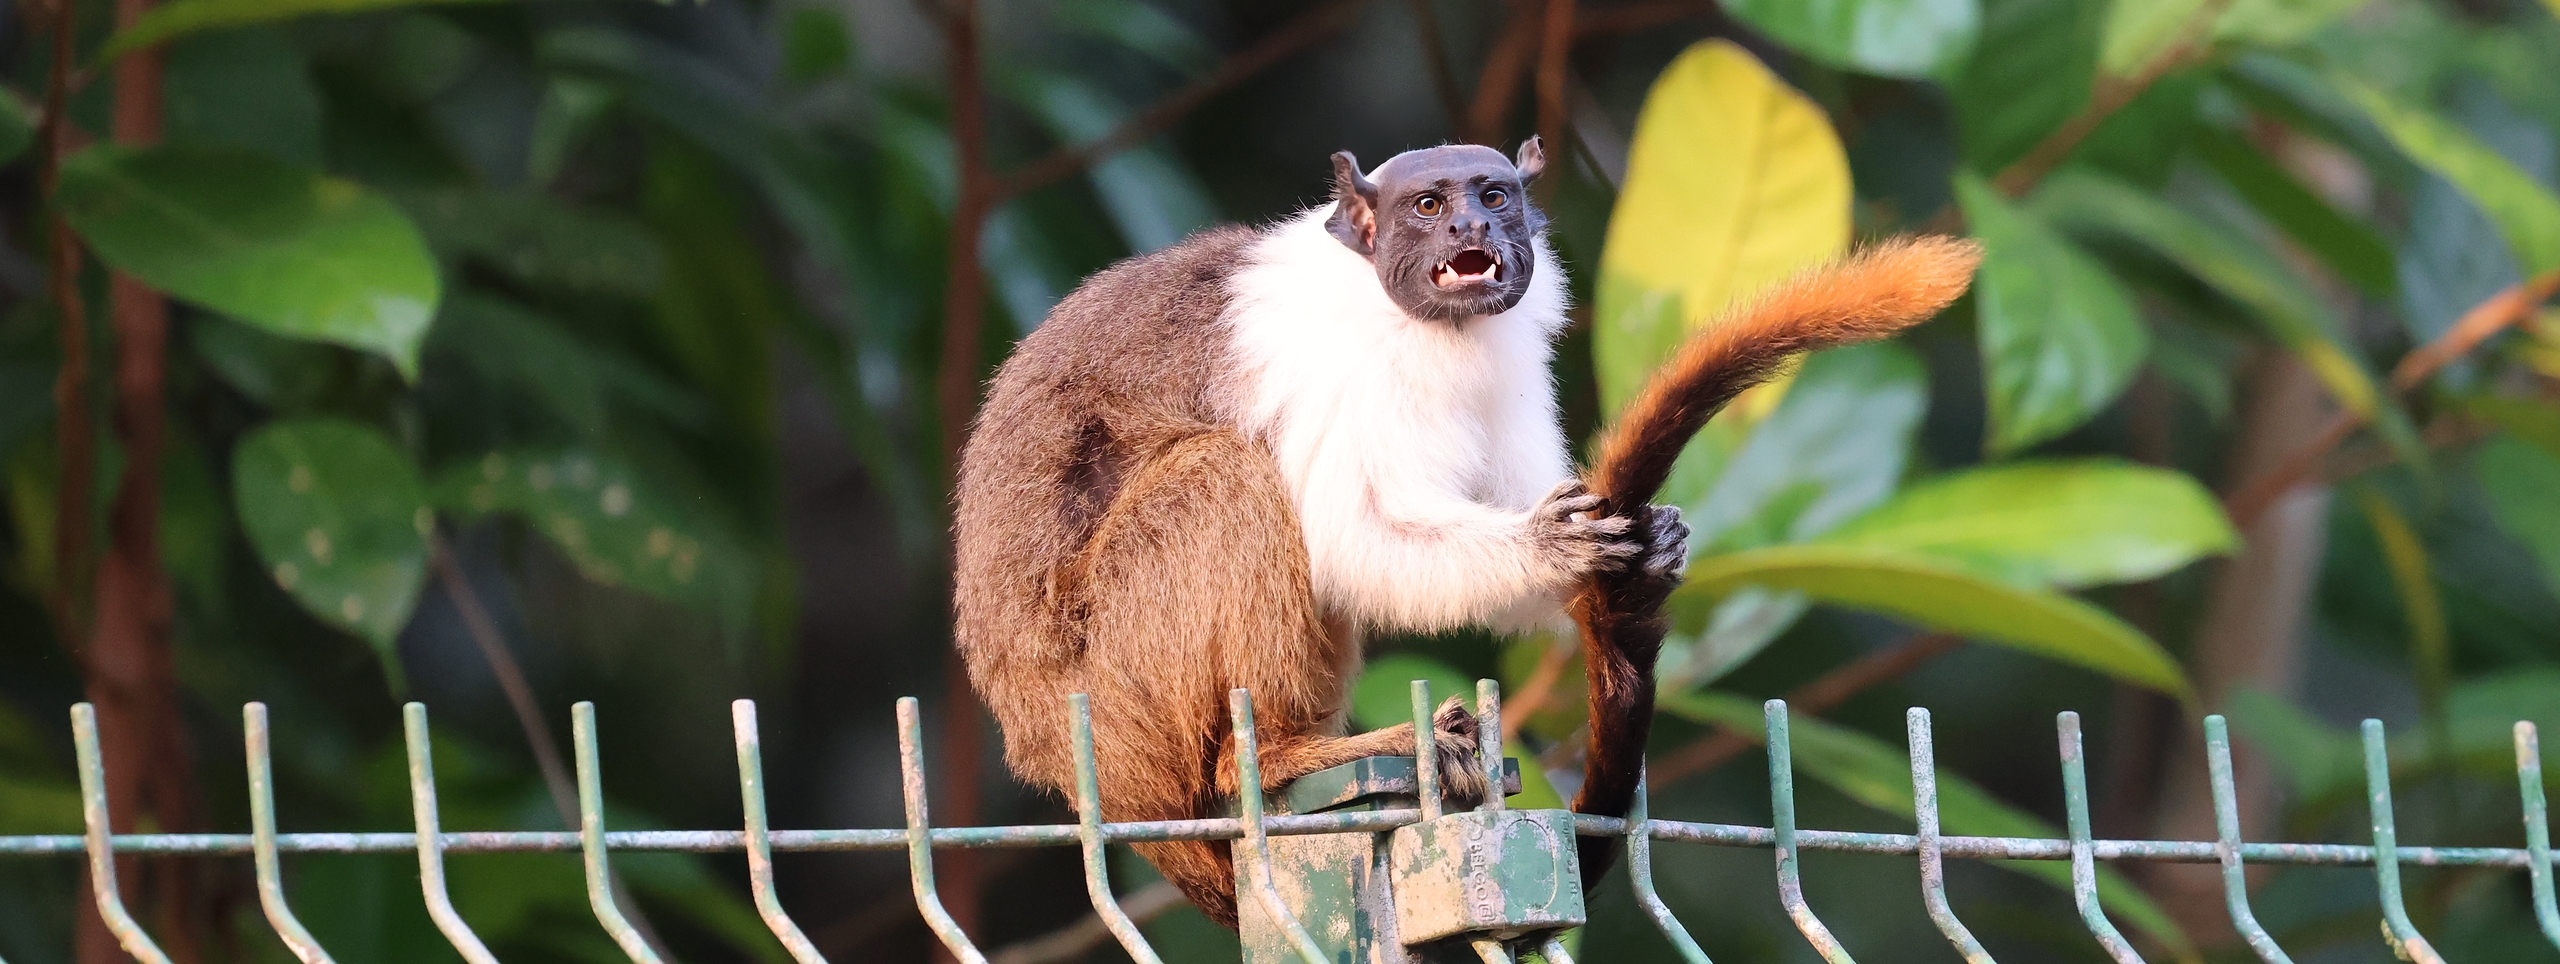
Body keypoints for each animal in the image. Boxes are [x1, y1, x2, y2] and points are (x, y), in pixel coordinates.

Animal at [952, 136, 1986, 925]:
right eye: (1428, 205)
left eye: (1494, 197)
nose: (1473, 232)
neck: (1412, 314)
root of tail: (1073, 771)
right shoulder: (1352, 370)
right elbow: (1361, 536)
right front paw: (1549, 548)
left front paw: (1651, 550)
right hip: (1122, 703)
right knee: (1229, 482)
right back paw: (1280, 754)